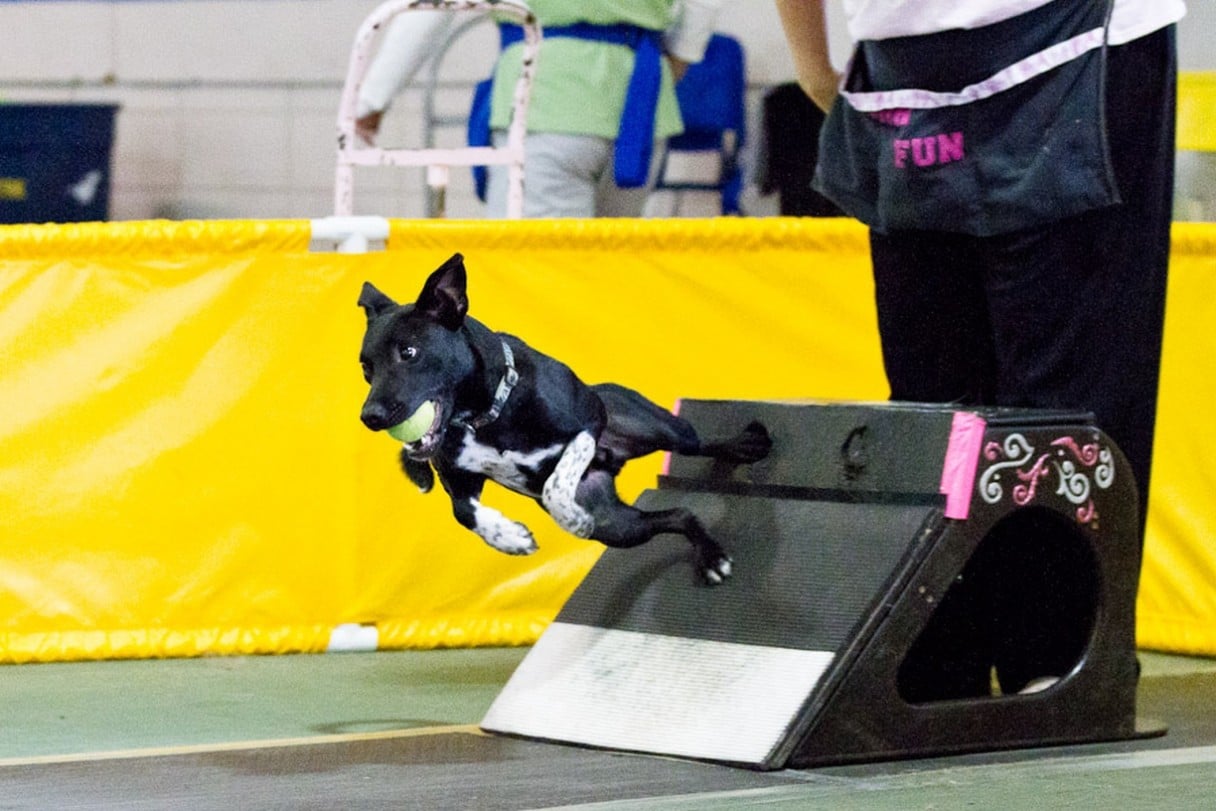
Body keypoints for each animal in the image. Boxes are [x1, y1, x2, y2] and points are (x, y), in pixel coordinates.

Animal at [355, 254, 768, 583]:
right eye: (366, 368)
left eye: (409, 352)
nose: (369, 417)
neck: (490, 414)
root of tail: (611, 465)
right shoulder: (459, 477)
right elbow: (463, 512)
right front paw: (508, 537)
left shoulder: (587, 422)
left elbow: (556, 482)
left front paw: (568, 516)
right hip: (618, 527)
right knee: (678, 515)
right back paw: (709, 555)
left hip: (656, 427)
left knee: (697, 444)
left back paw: (746, 452)